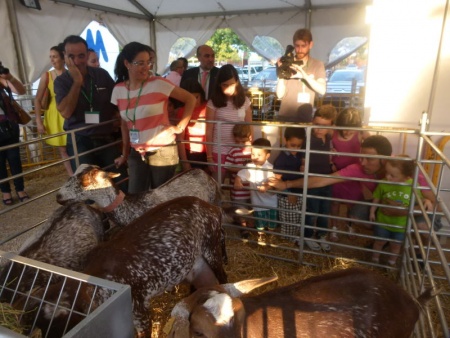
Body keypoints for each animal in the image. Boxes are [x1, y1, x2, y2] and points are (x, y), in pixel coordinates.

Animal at [24, 197, 227, 336]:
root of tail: (211, 207)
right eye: (39, 327)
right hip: (196, 264)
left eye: (61, 324)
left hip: (211, 248)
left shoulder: (140, 313)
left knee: (222, 276)